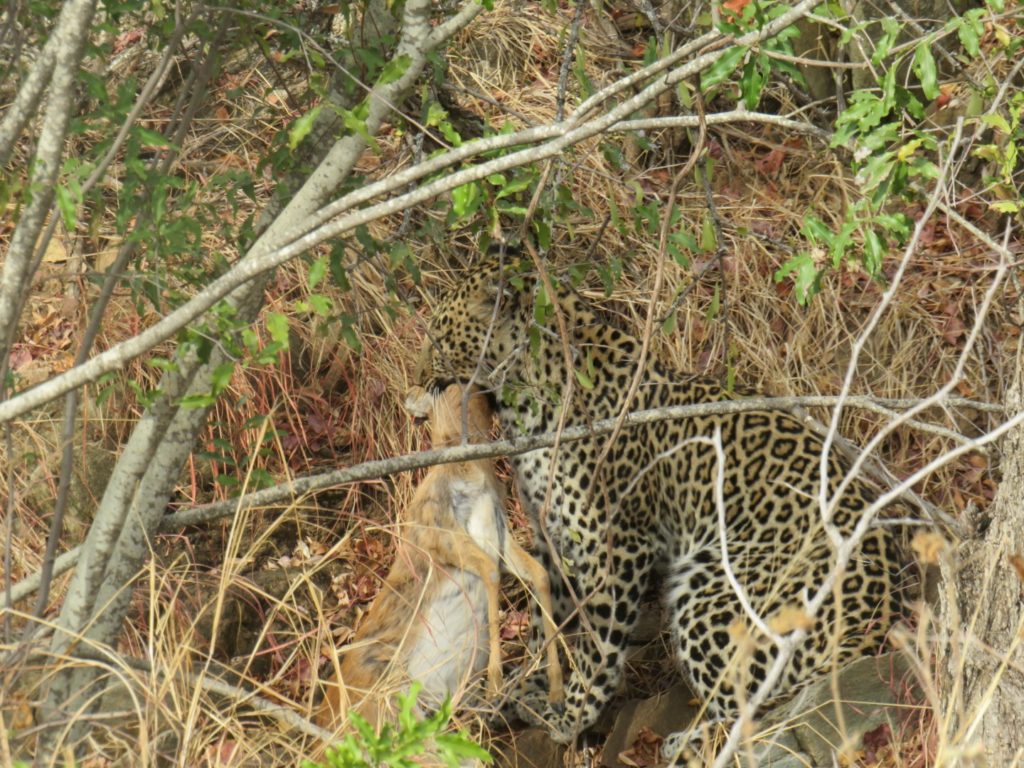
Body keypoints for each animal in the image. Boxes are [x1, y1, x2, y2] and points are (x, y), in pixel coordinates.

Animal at [415, 247, 912, 762]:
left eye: (437, 337)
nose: (418, 379)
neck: (527, 393)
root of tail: (883, 616)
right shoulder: (552, 535)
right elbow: (545, 618)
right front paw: (523, 689)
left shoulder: (613, 545)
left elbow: (597, 643)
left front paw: (568, 716)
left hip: (715, 590)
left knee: (748, 710)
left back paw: (686, 743)